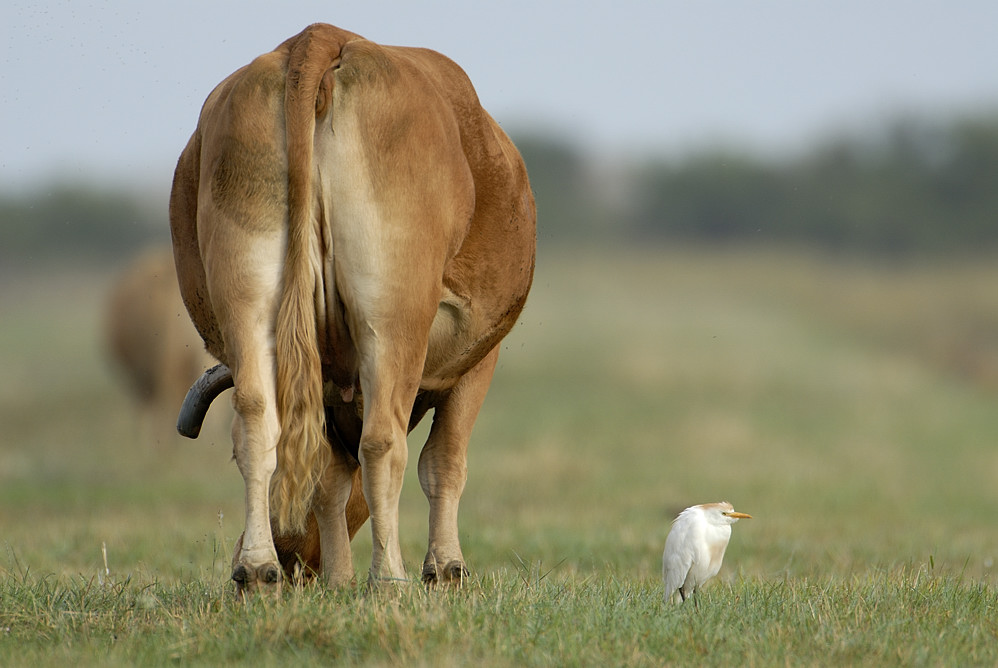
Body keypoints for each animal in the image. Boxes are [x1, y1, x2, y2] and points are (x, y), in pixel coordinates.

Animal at [170, 22, 540, 596]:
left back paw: (256, 569)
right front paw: (444, 568)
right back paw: (388, 577)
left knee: (256, 424)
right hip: (391, 320)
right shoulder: (477, 362)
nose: (295, 559)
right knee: (383, 444)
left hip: (249, 298)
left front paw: (339, 579)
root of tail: (320, 38)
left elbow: (328, 478)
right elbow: (444, 462)